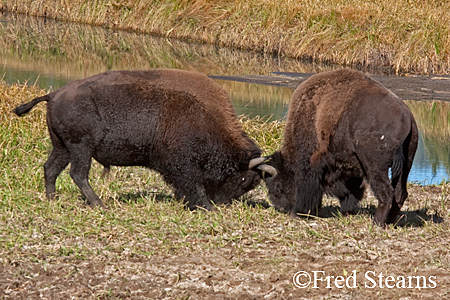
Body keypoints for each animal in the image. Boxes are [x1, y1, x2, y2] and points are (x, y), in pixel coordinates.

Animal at [13, 68, 274, 209]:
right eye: (243, 179)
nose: (222, 202)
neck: (208, 119)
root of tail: (54, 94)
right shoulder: (182, 166)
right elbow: (193, 184)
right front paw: (205, 207)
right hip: (80, 149)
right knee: (78, 174)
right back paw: (99, 204)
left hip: (62, 147)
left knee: (51, 169)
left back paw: (52, 199)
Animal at [264, 69, 418, 225]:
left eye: (278, 186)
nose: (282, 208)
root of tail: (406, 117)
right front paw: (346, 211)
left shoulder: (312, 163)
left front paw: (298, 213)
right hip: (406, 165)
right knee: (399, 193)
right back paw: (390, 222)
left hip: (376, 168)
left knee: (386, 192)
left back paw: (377, 223)